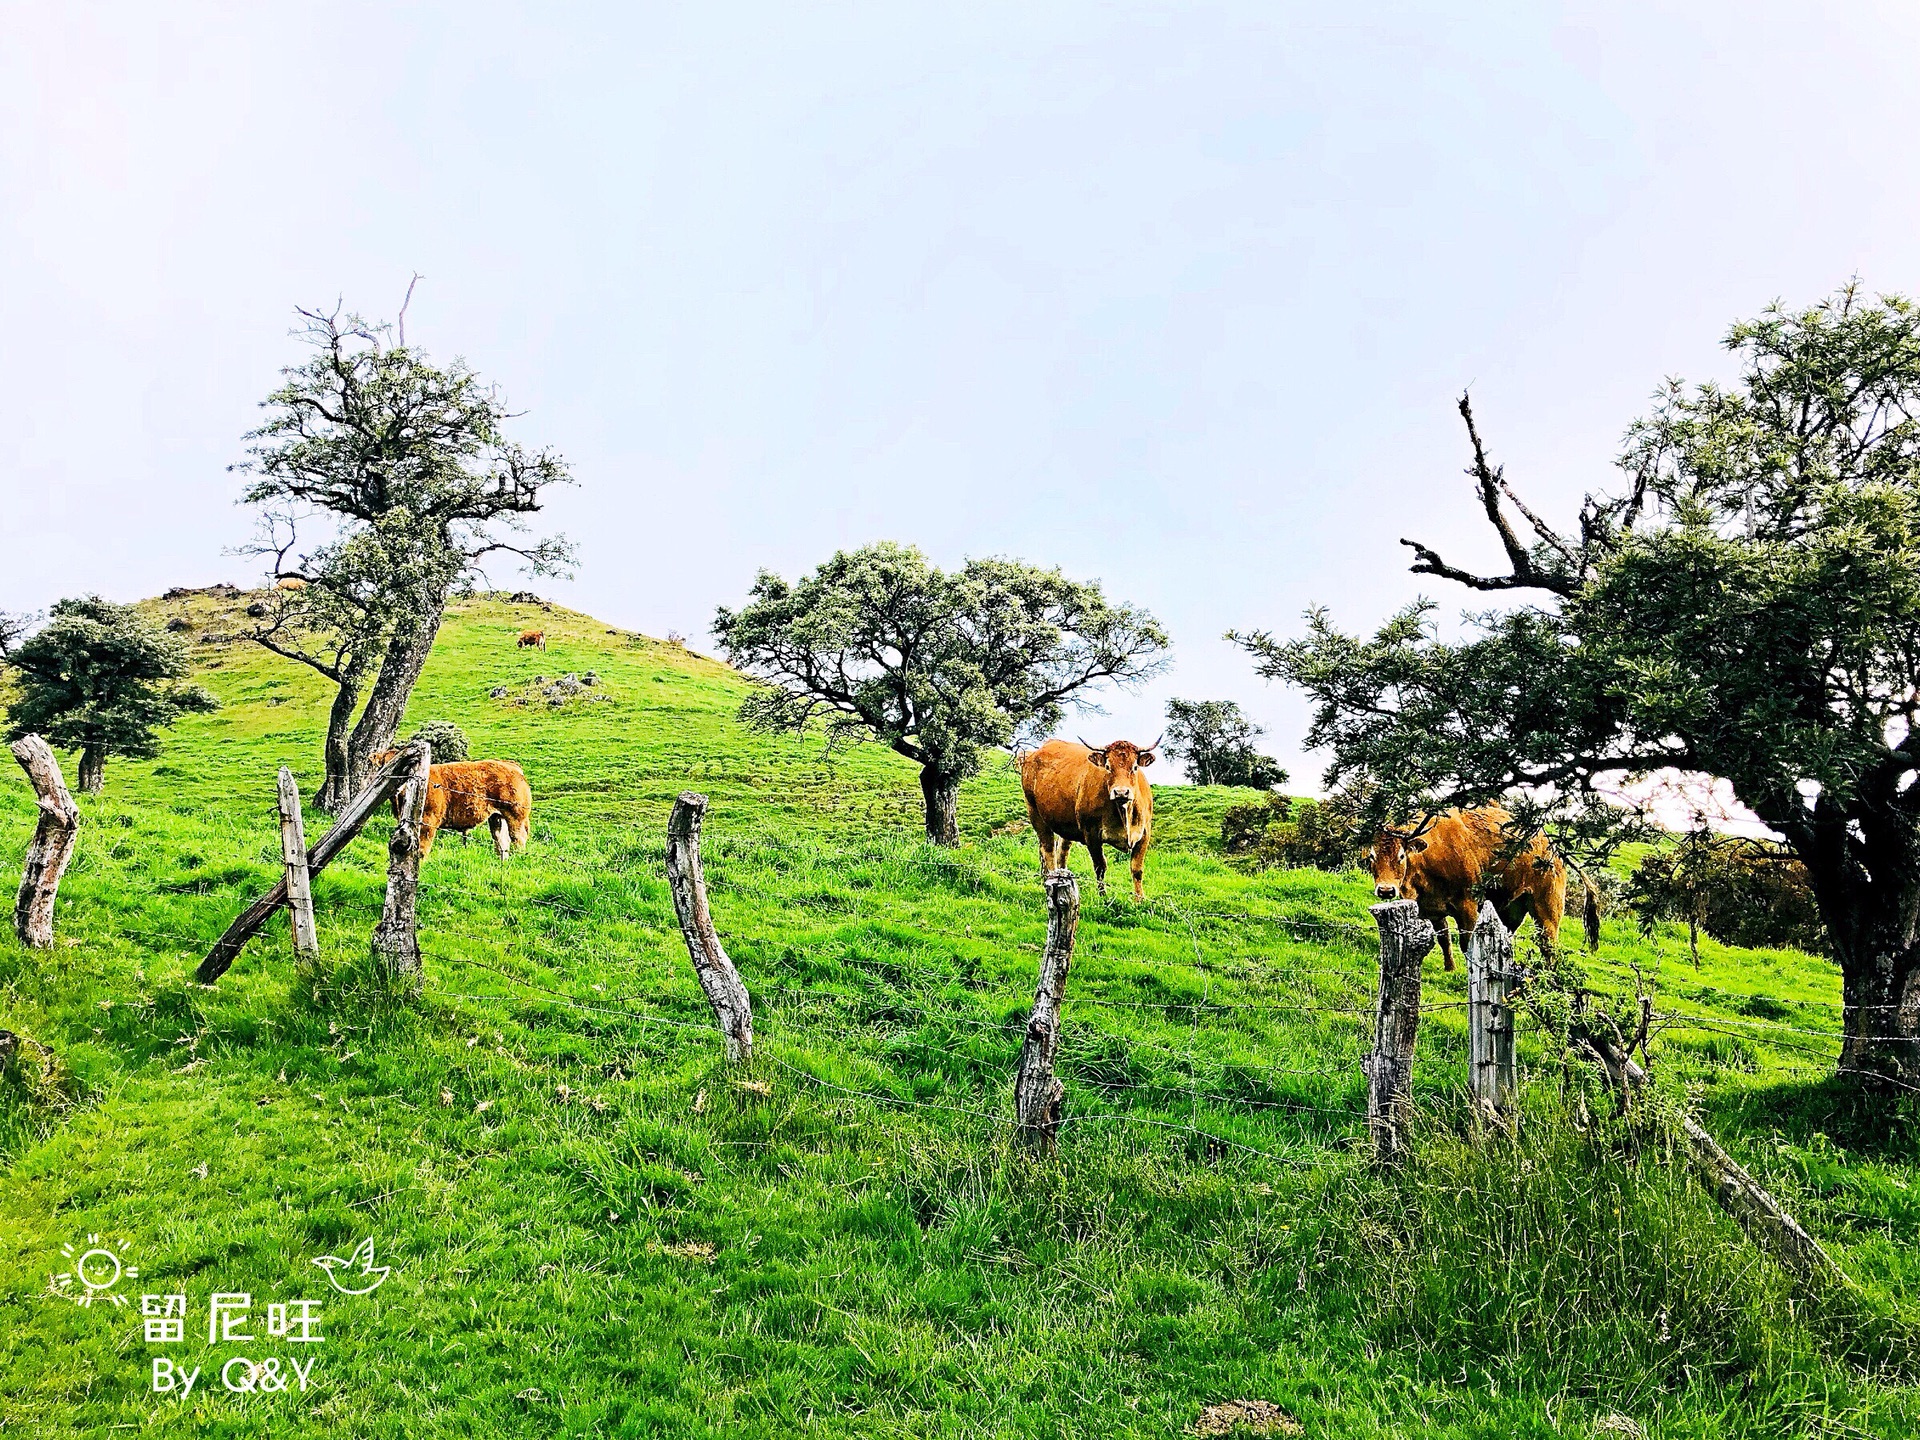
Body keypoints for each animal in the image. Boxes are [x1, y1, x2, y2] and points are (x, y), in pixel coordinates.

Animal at [370, 756, 533, 856]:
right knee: (502, 842)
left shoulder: (428, 822)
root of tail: (509, 764)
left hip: (516, 816)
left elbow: (422, 849)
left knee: (518, 838)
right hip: (497, 817)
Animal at [1013, 737, 1159, 898]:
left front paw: (1140, 899)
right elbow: (1100, 866)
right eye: (1108, 766)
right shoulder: (1091, 833)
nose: (1121, 792)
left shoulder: (1144, 834)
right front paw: (1103, 896)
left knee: (1061, 851)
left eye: (1134, 767)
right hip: (1034, 812)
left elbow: (1137, 869)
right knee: (1048, 850)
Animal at [1359, 814, 1566, 971]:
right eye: (1372, 856)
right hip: (1510, 910)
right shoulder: (1432, 909)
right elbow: (1444, 939)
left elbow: (1468, 943)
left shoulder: (1468, 906)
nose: (1386, 890)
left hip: (1547, 908)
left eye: (1401, 856)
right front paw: (1450, 968)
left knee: (1549, 945)